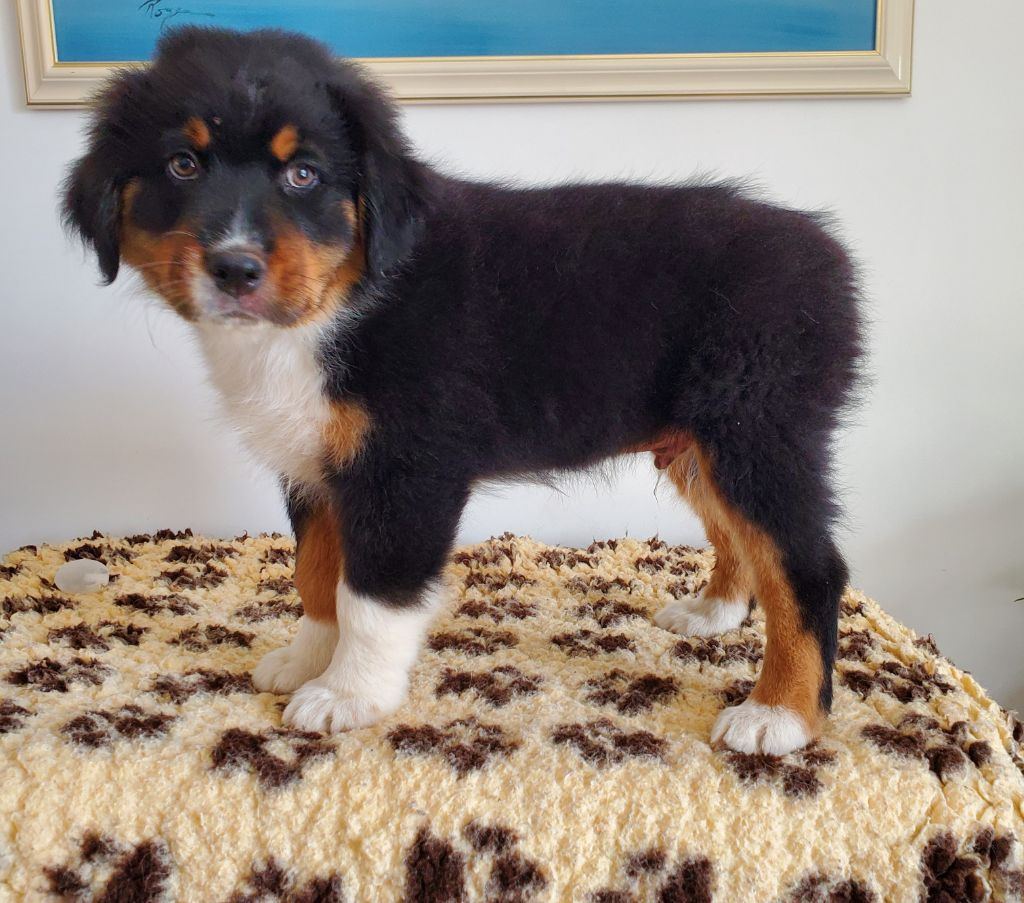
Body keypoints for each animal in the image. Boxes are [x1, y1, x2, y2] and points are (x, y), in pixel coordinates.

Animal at [63, 26, 863, 755]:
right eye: (183, 163)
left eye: (303, 176)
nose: (235, 268)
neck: (339, 301)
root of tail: (829, 254)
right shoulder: (317, 464)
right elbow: (317, 573)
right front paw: (307, 657)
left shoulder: (407, 468)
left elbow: (371, 594)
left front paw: (348, 694)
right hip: (701, 442)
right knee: (743, 540)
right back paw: (713, 613)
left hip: (755, 426)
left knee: (808, 568)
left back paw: (780, 714)